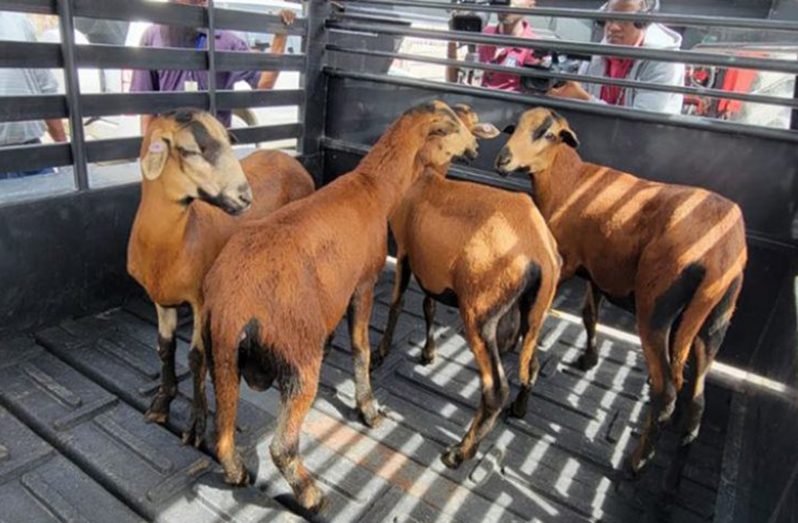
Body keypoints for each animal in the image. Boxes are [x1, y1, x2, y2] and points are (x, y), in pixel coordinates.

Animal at [126, 108, 314, 448]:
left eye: (229, 142)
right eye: (190, 150)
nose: (245, 197)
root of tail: (289, 158)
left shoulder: (201, 299)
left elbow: (196, 358)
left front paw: (196, 424)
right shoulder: (162, 299)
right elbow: (164, 348)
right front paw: (161, 403)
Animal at [202, 99, 476, 512]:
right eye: (453, 127)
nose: (475, 147)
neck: (375, 188)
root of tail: (232, 306)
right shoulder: (362, 284)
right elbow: (361, 348)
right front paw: (368, 408)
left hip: (221, 358)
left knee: (222, 434)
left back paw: (237, 474)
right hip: (297, 358)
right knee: (281, 445)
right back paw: (311, 494)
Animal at [376, 104, 564, 468]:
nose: (475, 151)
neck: (424, 177)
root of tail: (540, 252)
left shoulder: (404, 251)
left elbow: (396, 303)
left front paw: (380, 352)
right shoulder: (432, 269)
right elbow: (428, 306)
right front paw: (428, 352)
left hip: (480, 312)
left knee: (495, 389)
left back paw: (459, 452)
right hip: (534, 314)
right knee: (531, 364)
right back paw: (520, 409)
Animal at [496, 108, 748, 490]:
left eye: (548, 134)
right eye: (515, 127)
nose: (503, 160)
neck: (568, 180)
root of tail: (720, 252)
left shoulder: (565, 261)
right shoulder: (599, 269)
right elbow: (589, 314)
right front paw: (589, 358)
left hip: (656, 305)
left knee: (666, 390)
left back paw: (638, 461)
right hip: (715, 318)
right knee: (697, 397)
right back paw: (673, 467)